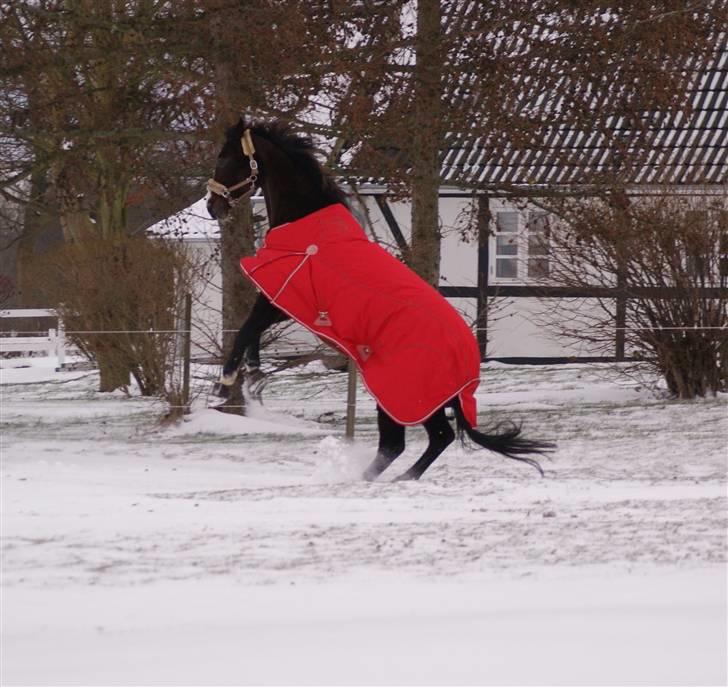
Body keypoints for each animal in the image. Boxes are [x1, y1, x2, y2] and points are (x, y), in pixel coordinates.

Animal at [205, 118, 552, 482]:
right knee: (424, 439)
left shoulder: (281, 295)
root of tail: (468, 367)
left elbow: (246, 328)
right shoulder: (284, 301)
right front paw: (254, 373)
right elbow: (252, 331)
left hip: (400, 395)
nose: (212, 206)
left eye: (224, 157)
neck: (310, 231)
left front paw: (224, 385)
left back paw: (380, 478)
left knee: (408, 441)